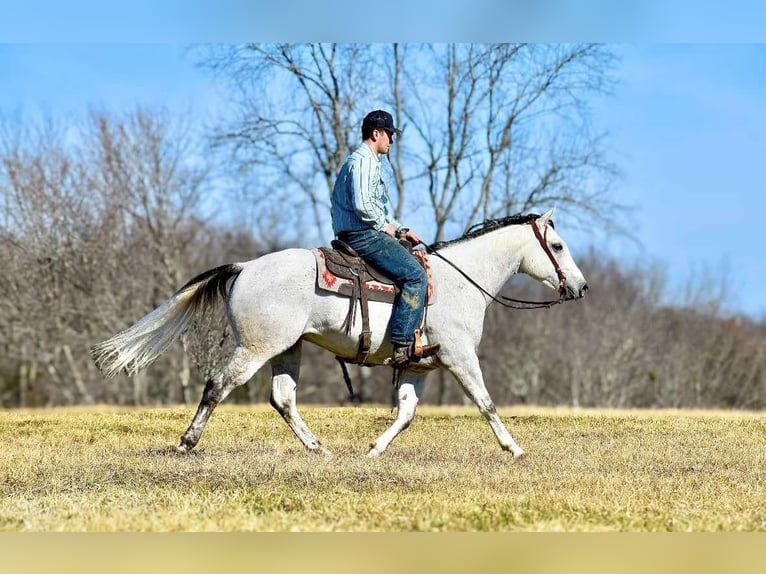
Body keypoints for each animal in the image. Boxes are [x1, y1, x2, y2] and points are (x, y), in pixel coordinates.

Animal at [93, 209, 592, 462]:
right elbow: (486, 403)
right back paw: (187, 442)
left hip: (288, 349)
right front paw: (514, 448)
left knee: (283, 398)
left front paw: (374, 450)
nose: (581, 286)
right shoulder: (459, 356)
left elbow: (406, 413)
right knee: (218, 385)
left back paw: (318, 448)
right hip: (255, 347)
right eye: (558, 245)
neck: (460, 280)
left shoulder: (419, 364)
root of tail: (244, 267)